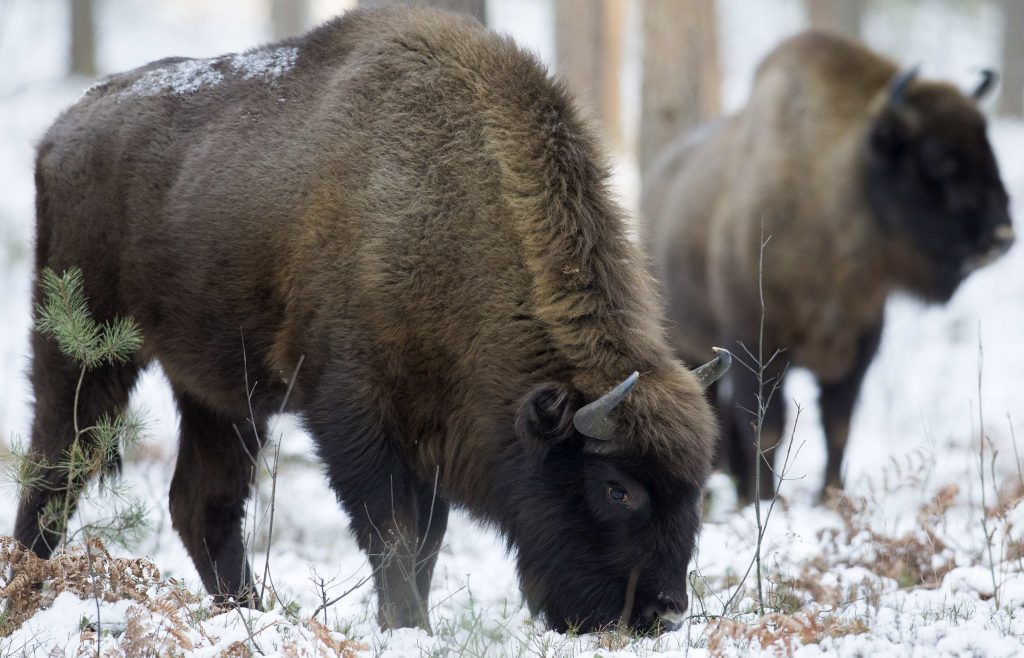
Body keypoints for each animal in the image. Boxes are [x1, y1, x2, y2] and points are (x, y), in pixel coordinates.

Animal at [9, 5, 729, 634]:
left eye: (695, 490)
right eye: (617, 489)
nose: (664, 613)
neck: (452, 209)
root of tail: (60, 133)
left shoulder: (433, 436)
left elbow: (426, 545)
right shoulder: (355, 417)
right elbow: (395, 539)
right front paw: (408, 626)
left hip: (219, 395)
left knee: (201, 504)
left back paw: (250, 614)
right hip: (82, 349)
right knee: (54, 469)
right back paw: (29, 591)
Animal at [643, 30, 1011, 501]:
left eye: (987, 144)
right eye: (936, 155)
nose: (1001, 236)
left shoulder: (859, 348)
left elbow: (838, 425)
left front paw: (830, 495)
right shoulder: (753, 348)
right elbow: (766, 428)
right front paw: (766, 500)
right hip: (686, 346)